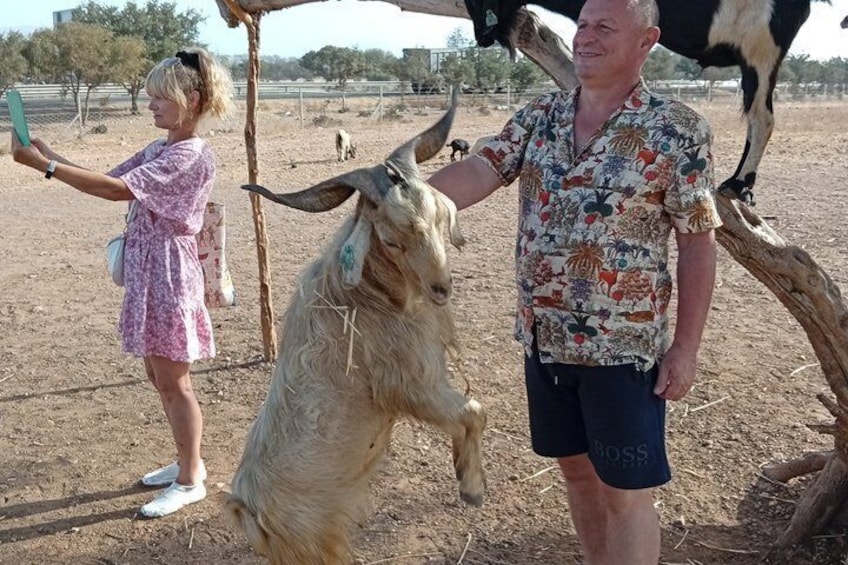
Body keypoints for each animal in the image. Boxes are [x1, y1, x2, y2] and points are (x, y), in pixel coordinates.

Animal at [228, 93, 486, 565]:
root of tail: (247, 514)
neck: (367, 296)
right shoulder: (410, 385)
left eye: (441, 220)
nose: (441, 288)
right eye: (391, 239)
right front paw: (470, 487)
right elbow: (473, 412)